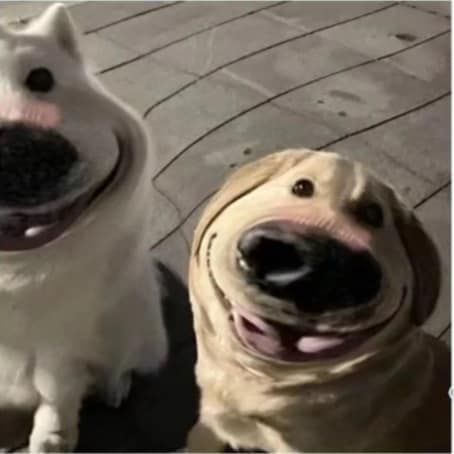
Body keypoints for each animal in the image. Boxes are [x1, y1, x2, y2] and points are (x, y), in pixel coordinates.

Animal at [0, 4, 168, 454]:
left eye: (41, 78)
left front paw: (53, 437)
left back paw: (113, 385)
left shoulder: (64, 335)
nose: (19, 151)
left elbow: (58, 391)